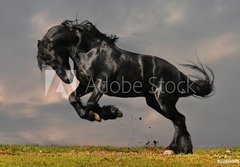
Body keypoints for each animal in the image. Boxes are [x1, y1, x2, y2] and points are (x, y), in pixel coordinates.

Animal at [37, 20, 214, 155]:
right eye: (47, 62)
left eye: (52, 58)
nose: (67, 80)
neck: (90, 52)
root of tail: (178, 73)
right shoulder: (87, 85)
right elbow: (74, 99)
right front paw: (100, 114)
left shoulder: (101, 84)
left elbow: (90, 103)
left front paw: (108, 113)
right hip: (154, 103)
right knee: (179, 120)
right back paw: (183, 150)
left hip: (164, 102)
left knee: (179, 120)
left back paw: (172, 149)